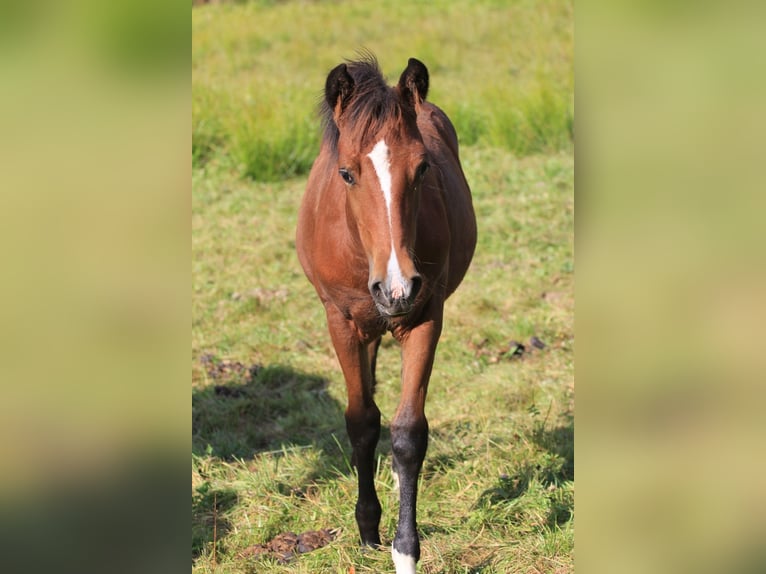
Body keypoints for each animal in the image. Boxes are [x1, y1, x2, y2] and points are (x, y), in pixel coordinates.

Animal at [296, 55, 476, 574]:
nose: (396, 288)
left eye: (422, 167)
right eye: (346, 173)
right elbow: (361, 422)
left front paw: (405, 550)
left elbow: (408, 433)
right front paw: (367, 528)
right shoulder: (341, 320)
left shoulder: (425, 316)